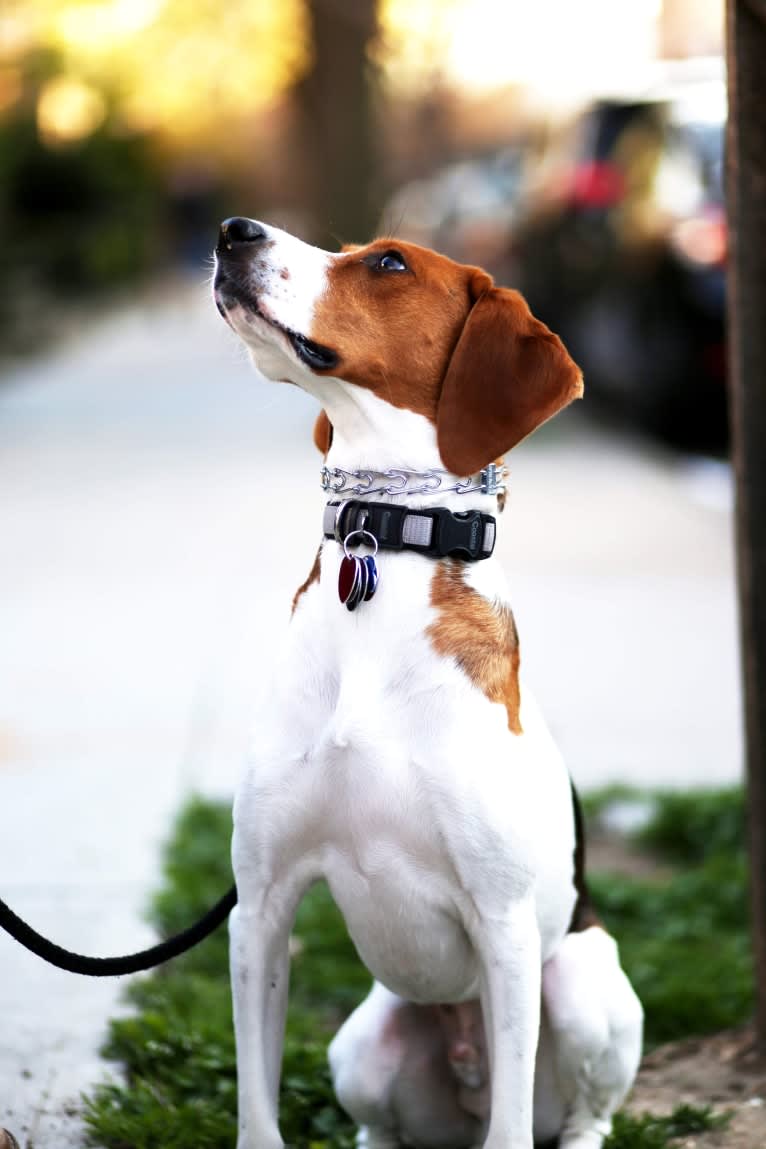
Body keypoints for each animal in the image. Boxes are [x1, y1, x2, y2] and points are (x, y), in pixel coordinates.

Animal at [212, 217, 643, 1149]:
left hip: (584, 984)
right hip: (362, 1042)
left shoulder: (506, 927)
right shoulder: (259, 907)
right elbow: (258, 1111)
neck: (388, 536)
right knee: (382, 1126)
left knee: (577, 1115)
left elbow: (513, 1133)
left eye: (388, 262)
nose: (233, 231)